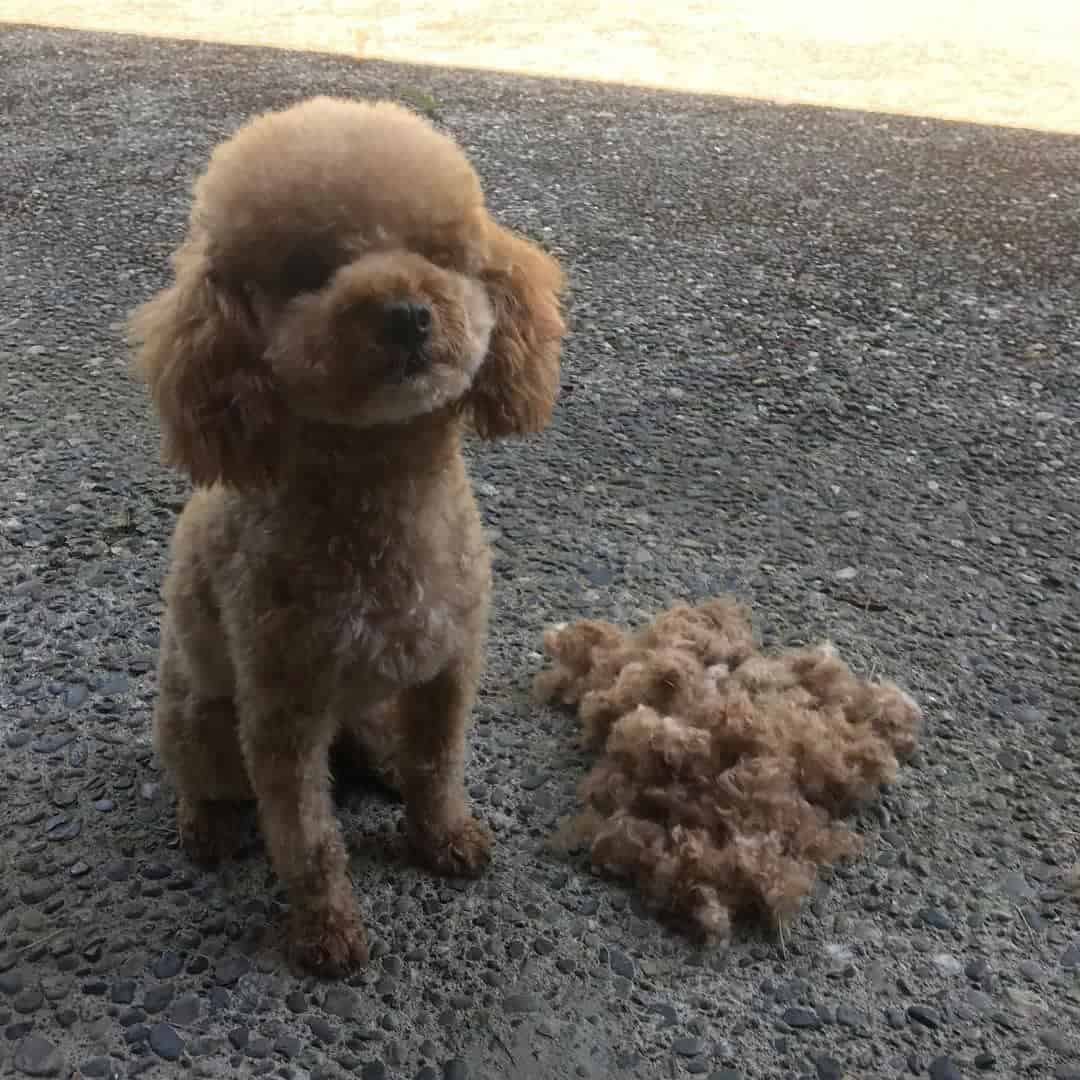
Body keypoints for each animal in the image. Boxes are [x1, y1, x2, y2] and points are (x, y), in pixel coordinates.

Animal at [128, 97, 565, 976]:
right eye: (307, 270)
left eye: (438, 253)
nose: (406, 313)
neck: (383, 494)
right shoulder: (281, 715)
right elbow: (307, 836)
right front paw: (327, 931)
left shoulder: (447, 668)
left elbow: (439, 766)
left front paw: (444, 836)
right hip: (198, 717)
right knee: (198, 777)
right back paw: (205, 825)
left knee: (382, 747)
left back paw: (384, 764)